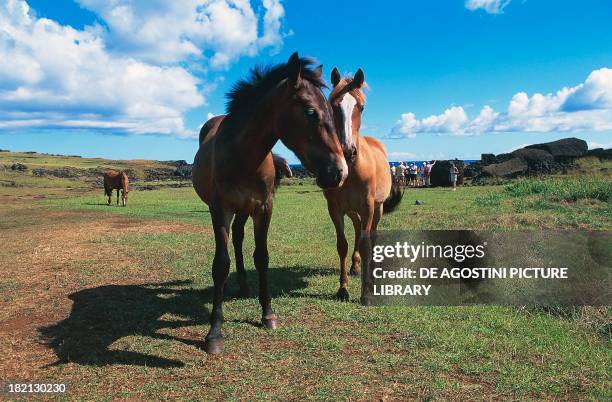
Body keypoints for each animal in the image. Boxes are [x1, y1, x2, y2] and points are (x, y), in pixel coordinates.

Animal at [194, 51, 346, 354]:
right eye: (310, 112)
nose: (339, 172)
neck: (242, 156)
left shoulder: (264, 208)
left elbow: (262, 257)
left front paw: (267, 314)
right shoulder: (220, 210)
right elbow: (220, 264)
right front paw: (214, 332)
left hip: (245, 210)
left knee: (239, 238)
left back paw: (243, 285)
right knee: (235, 242)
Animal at [322, 67, 404, 304]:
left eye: (361, 106)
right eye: (333, 104)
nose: (348, 151)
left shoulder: (368, 206)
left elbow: (367, 244)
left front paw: (366, 292)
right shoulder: (335, 208)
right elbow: (342, 244)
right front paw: (343, 288)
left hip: (377, 207)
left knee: (371, 235)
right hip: (352, 210)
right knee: (358, 229)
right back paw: (356, 265)